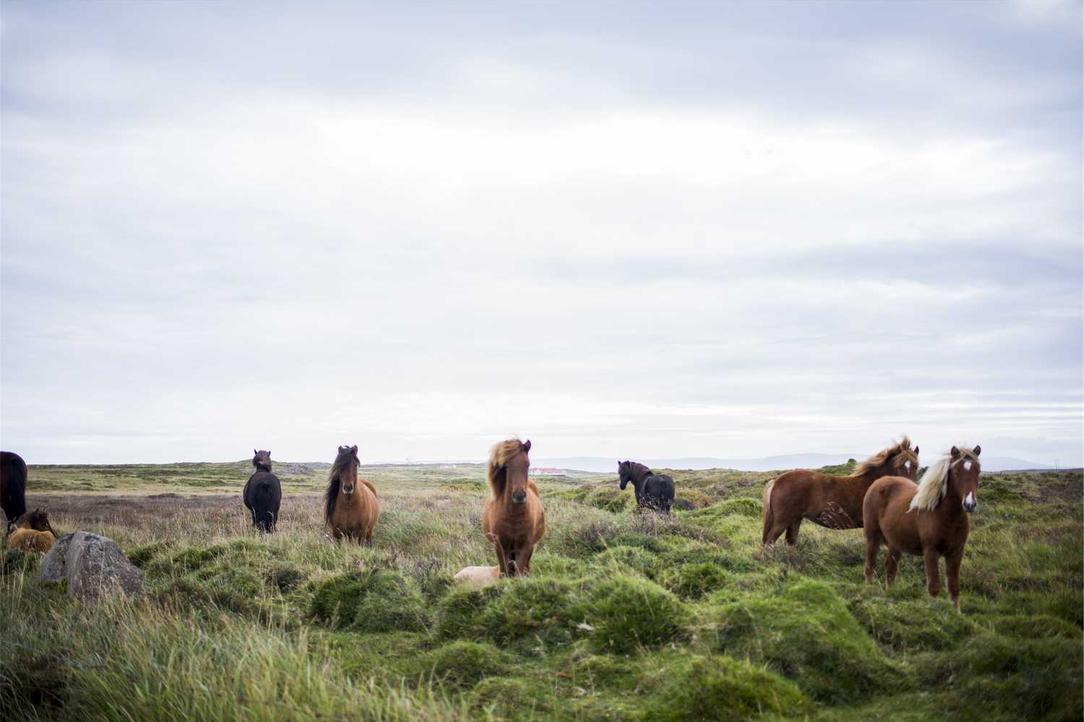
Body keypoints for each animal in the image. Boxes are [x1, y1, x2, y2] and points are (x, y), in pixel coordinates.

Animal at [483, 435, 546, 576]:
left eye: (527, 464)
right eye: (506, 465)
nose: (519, 496)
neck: (513, 516)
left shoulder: (524, 546)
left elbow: (519, 572)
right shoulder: (500, 545)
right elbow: (504, 572)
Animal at [758, 433, 919, 546]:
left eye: (916, 466)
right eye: (899, 466)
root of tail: (776, 481)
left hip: (795, 519)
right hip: (783, 521)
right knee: (769, 542)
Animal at [862, 444, 984, 607]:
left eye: (978, 470)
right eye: (957, 471)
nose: (969, 504)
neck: (947, 517)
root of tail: (878, 482)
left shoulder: (956, 553)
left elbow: (954, 589)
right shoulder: (930, 552)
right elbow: (934, 587)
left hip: (896, 544)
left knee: (890, 568)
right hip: (872, 538)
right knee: (870, 567)